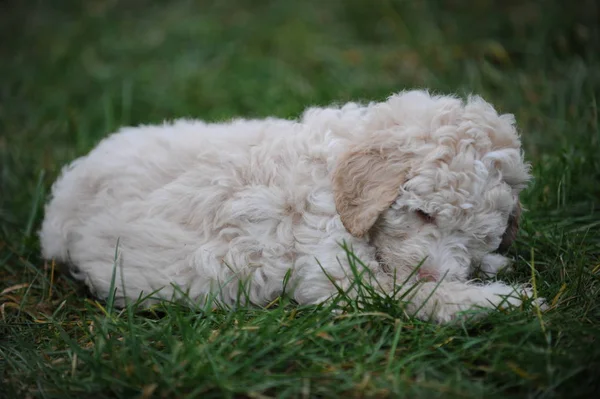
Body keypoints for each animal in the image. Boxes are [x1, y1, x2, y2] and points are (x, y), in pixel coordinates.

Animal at [39, 90, 540, 322]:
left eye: (476, 237)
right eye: (422, 214)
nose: (434, 272)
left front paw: (490, 268)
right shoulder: (339, 277)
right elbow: (417, 296)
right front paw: (509, 300)